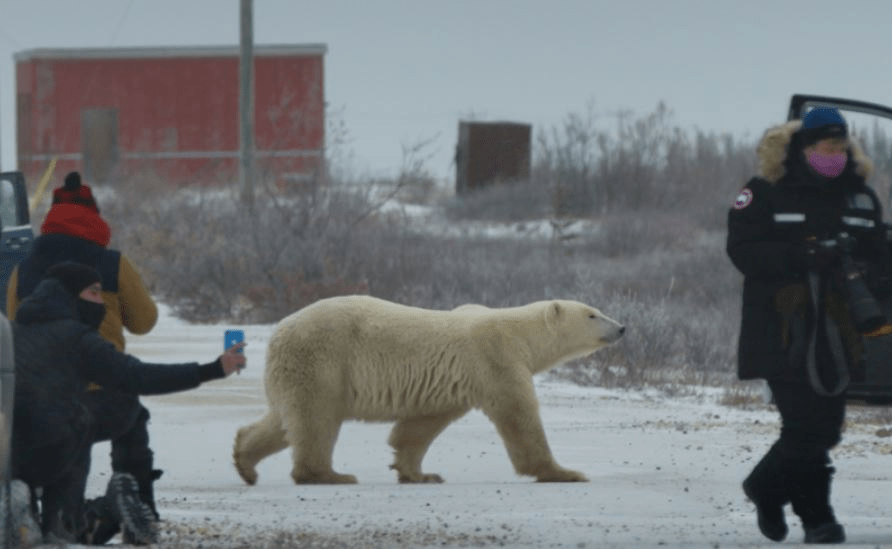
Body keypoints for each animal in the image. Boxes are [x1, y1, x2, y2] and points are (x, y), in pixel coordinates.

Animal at [232, 295, 624, 485]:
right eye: (592, 314)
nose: (622, 327)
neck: (520, 335)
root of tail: (279, 330)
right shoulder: (496, 361)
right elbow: (519, 418)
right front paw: (566, 472)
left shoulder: (453, 382)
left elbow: (420, 426)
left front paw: (419, 474)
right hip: (323, 360)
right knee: (316, 419)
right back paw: (329, 475)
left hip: (293, 371)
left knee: (283, 420)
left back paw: (245, 463)